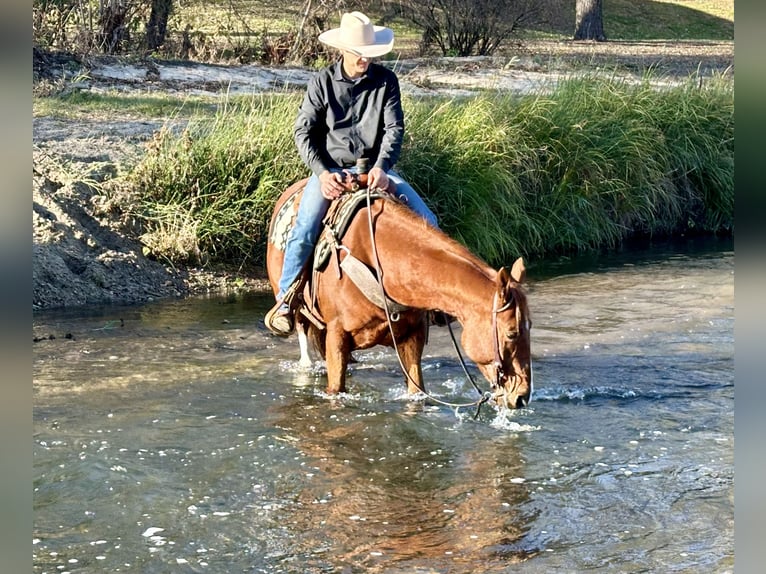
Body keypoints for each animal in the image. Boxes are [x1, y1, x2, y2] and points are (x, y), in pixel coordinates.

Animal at [266, 180, 536, 410]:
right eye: (512, 333)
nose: (522, 397)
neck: (381, 261)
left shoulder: (412, 336)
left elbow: (416, 392)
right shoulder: (336, 335)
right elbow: (335, 389)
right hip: (300, 309)